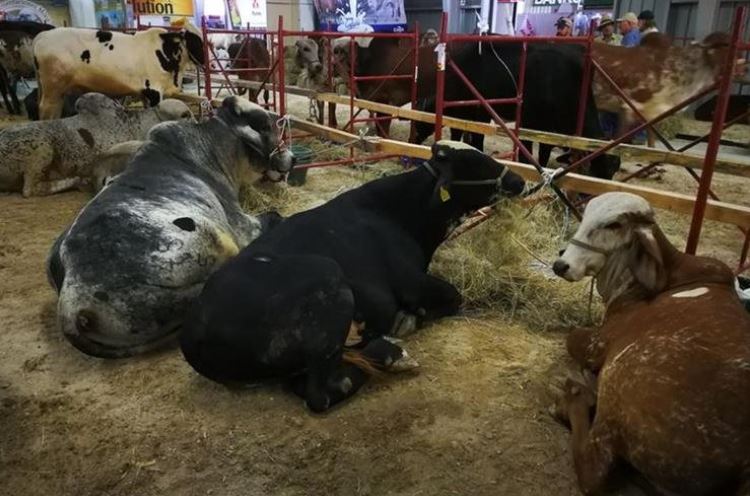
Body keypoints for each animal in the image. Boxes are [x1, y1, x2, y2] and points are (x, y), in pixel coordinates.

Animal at [33, 25, 204, 120]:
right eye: (196, 42)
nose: (204, 61)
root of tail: (43, 35)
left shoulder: (146, 94)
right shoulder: (153, 92)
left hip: (57, 92)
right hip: (52, 90)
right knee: (46, 112)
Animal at [45, 97, 296, 358]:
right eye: (267, 124)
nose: (293, 159)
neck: (213, 149)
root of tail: (71, 308)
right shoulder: (243, 226)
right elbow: (274, 216)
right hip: (210, 236)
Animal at [552, 191, 750, 496]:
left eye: (613, 225)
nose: (561, 265)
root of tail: (743, 465)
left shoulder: (597, 344)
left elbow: (570, 336)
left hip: (620, 382)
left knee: (592, 470)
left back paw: (573, 396)